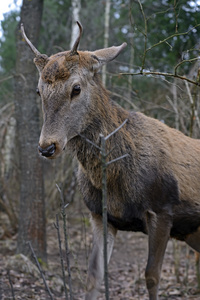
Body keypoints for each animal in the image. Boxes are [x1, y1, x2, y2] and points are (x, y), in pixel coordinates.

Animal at [20, 21, 200, 300]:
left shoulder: (163, 208)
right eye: (39, 90)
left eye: (76, 88)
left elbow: (152, 276)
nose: (47, 146)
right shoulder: (99, 215)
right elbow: (94, 276)